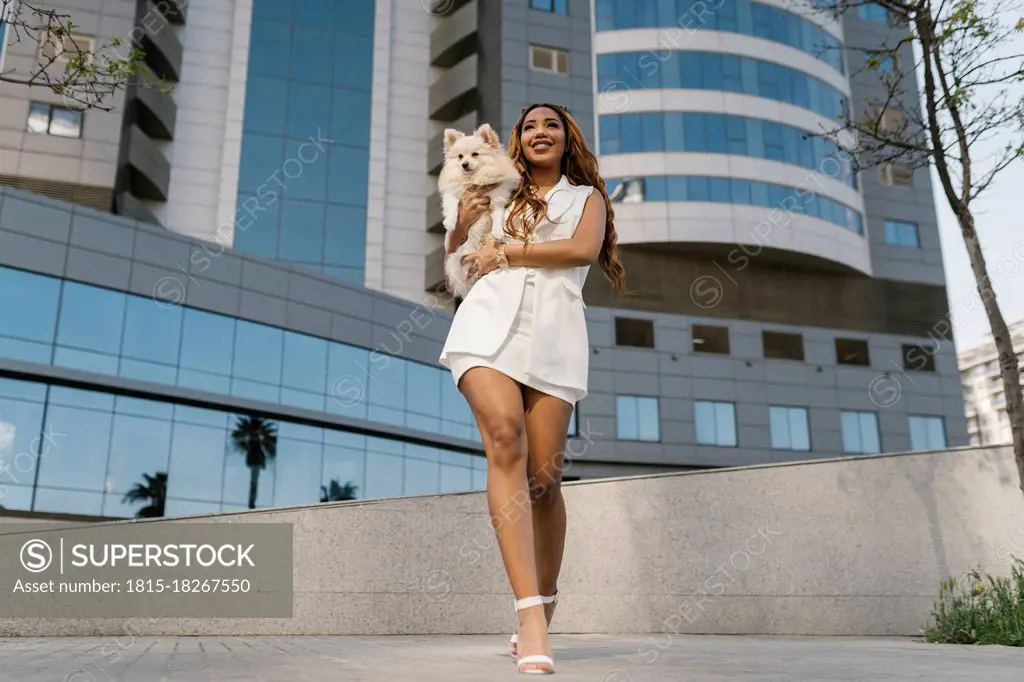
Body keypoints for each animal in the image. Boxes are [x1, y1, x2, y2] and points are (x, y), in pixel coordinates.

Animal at [438, 122, 520, 296]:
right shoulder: (453, 194)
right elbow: (452, 206)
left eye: (475, 155)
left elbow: (498, 215)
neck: (473, 181)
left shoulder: (497, 199)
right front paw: (450, 222)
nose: (464, 164)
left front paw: (498, 231)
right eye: (460, 156)